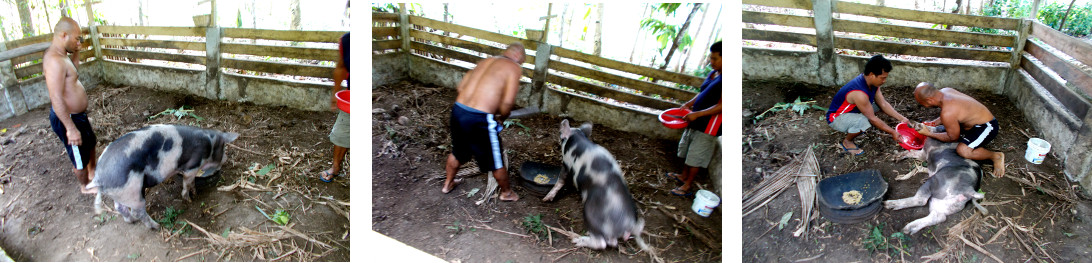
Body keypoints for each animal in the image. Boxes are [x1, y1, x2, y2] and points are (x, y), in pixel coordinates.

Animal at [85, 124, 239, 229]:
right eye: (224, 147)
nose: (226, 158)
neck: (209, 143)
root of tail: (99, 177)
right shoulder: (191, 167)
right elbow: (187, 183)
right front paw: (189, 199)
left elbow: (192, 183)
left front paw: (195, 193)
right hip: (133, 192)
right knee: (137, 212)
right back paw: (156, 226)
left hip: (119, 193)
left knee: (119, 207)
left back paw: (131, 221)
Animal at [539, 120, 646, 252]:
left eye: (560, 133)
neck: (578, 138)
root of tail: (628, 222)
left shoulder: (567, 163)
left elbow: (561, 180)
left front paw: (546, 198)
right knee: (612, 242)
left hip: (591, 213)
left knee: (601, 243)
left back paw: (576, 240)